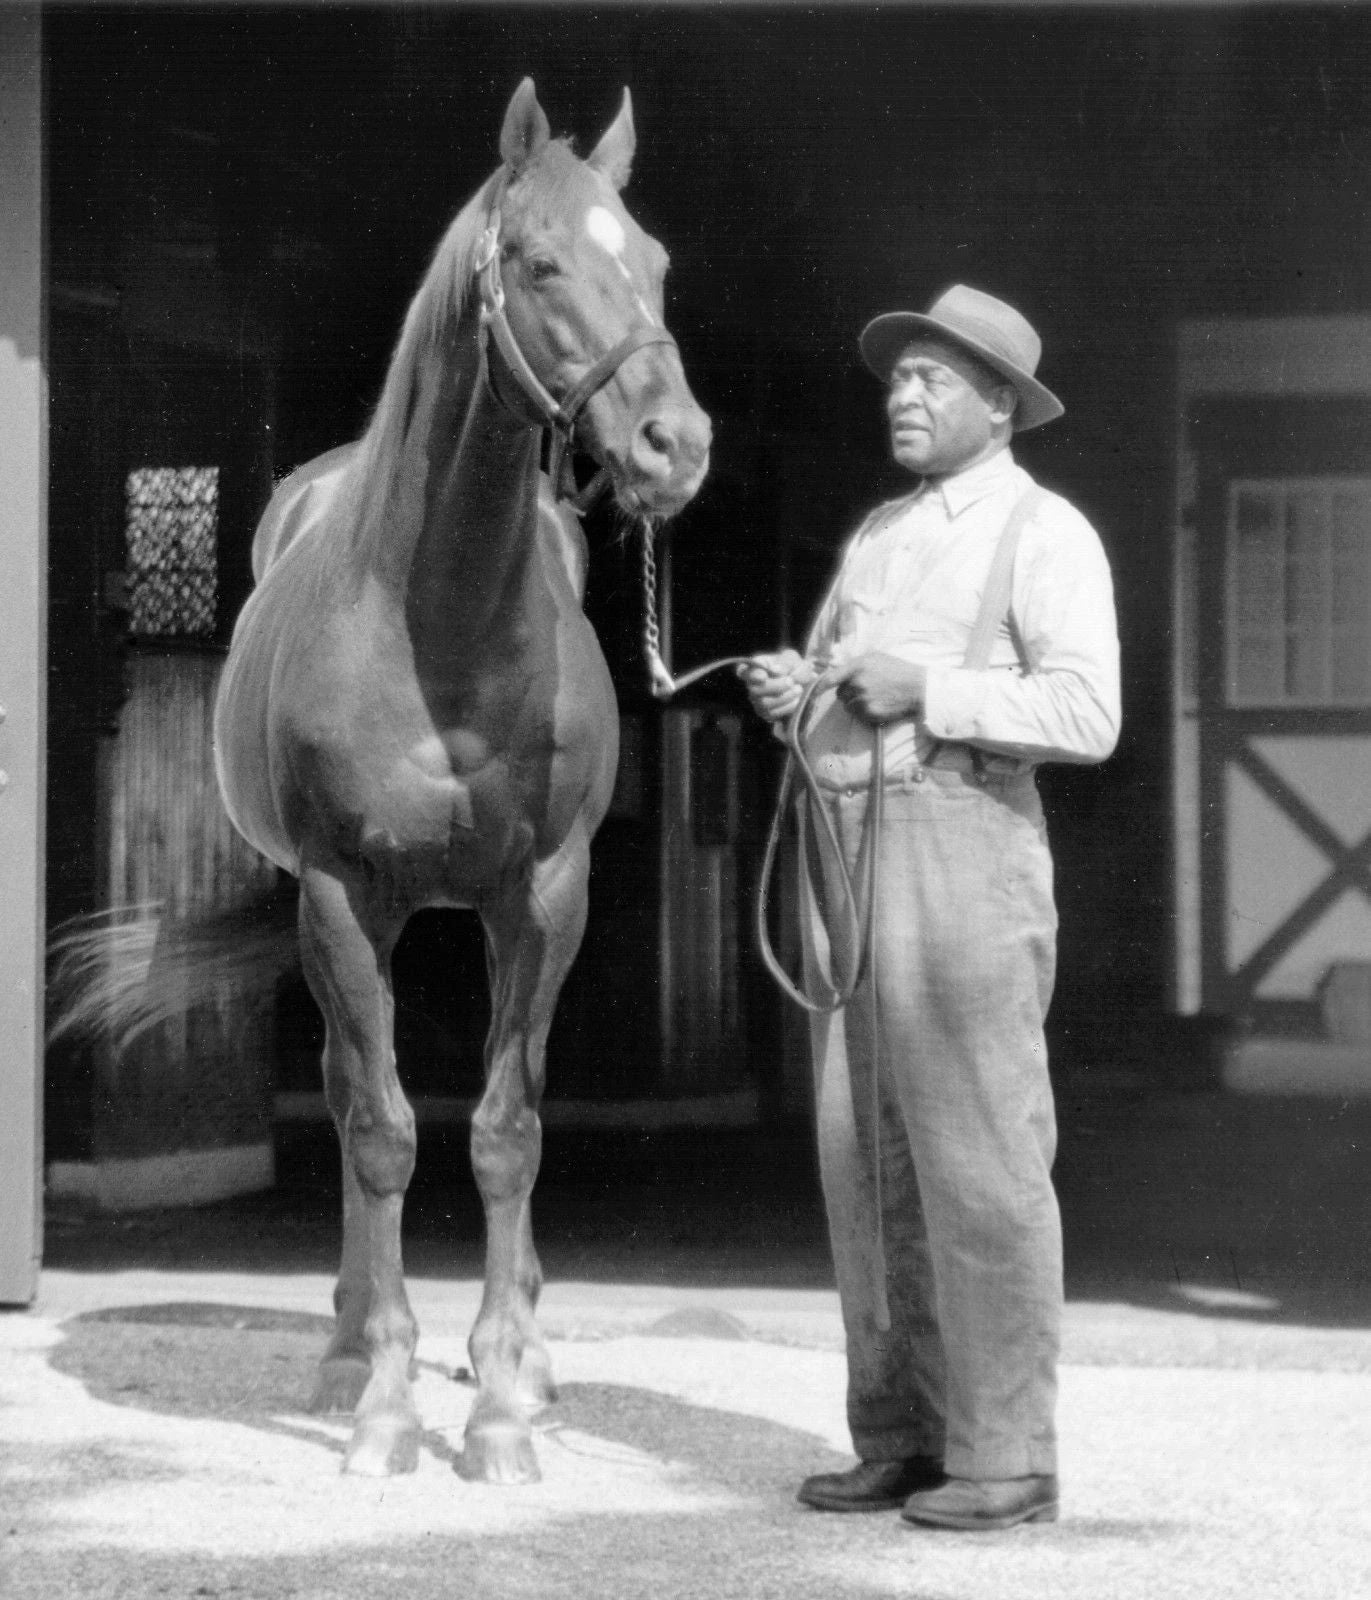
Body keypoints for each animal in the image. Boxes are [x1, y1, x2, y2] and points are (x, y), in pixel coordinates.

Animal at [191, 80, 708, 1484]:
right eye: (537, 262)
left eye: (654, 264)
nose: (675, 444)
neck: (442, 616)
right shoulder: (338, 894)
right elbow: (380, 1132)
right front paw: (382, 1408)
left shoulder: (544, 895)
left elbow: (505, 1130)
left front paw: (500, 1413)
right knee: (343, 1094)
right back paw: (344, 1350)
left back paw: (516, 1357)